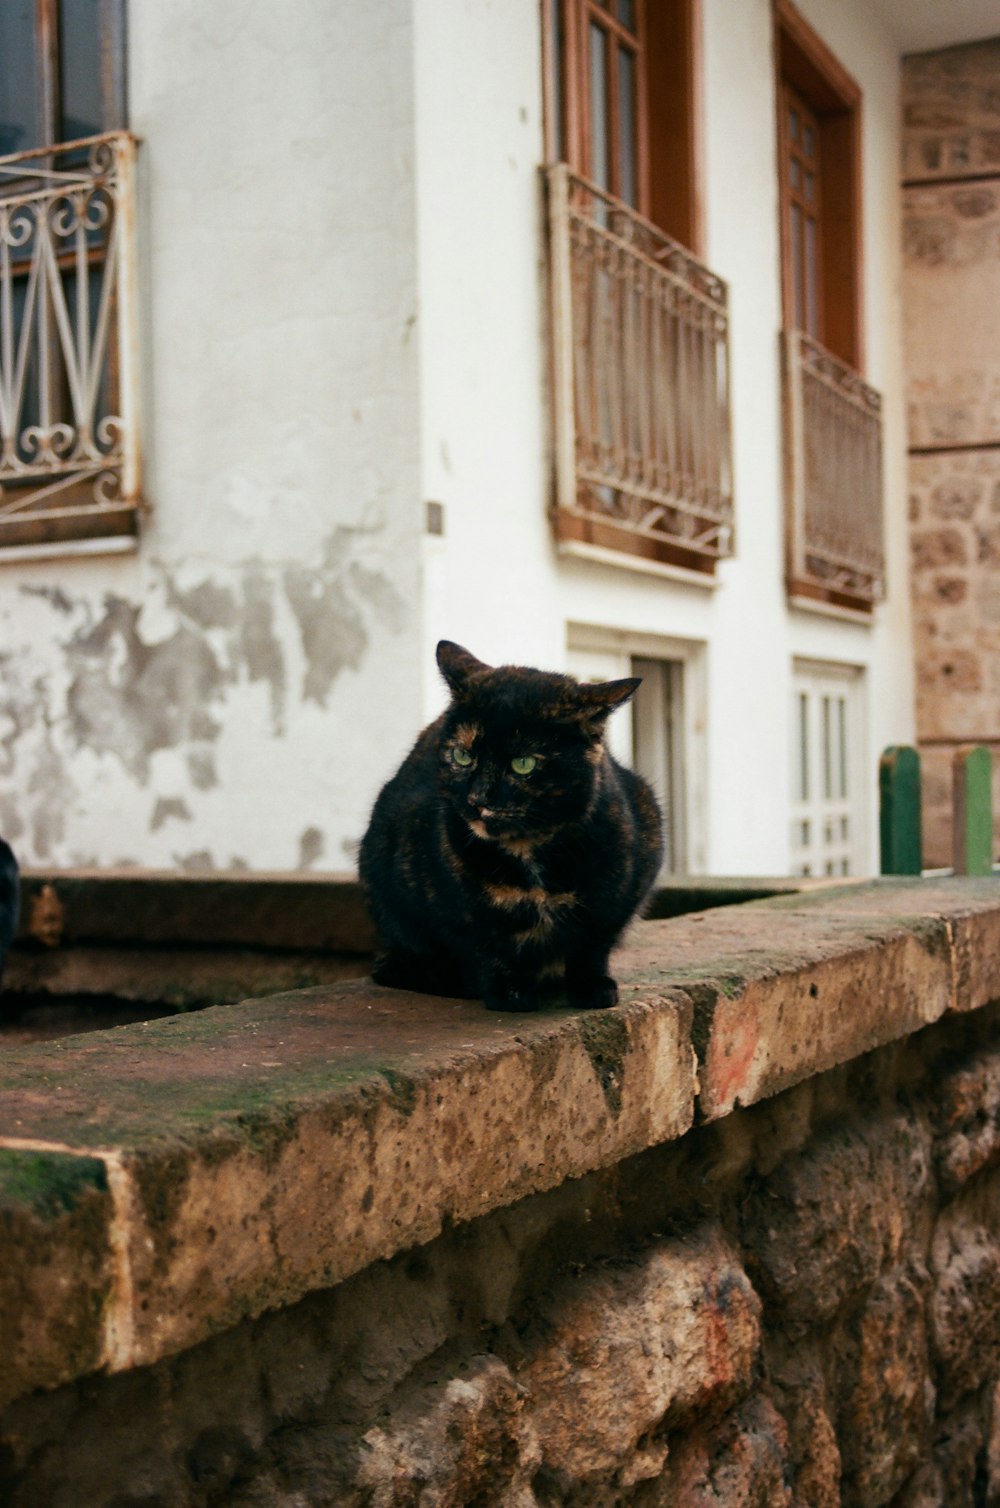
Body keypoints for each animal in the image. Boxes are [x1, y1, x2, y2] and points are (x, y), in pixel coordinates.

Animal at [360, 639, 663, 1013]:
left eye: (523, 764)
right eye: (463, 756)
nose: (477, 798)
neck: (529, 852)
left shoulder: (619, 891)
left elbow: (592, 943)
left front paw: (593, 987)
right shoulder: (459, 910)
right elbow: (487, 945)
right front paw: (508, 993)